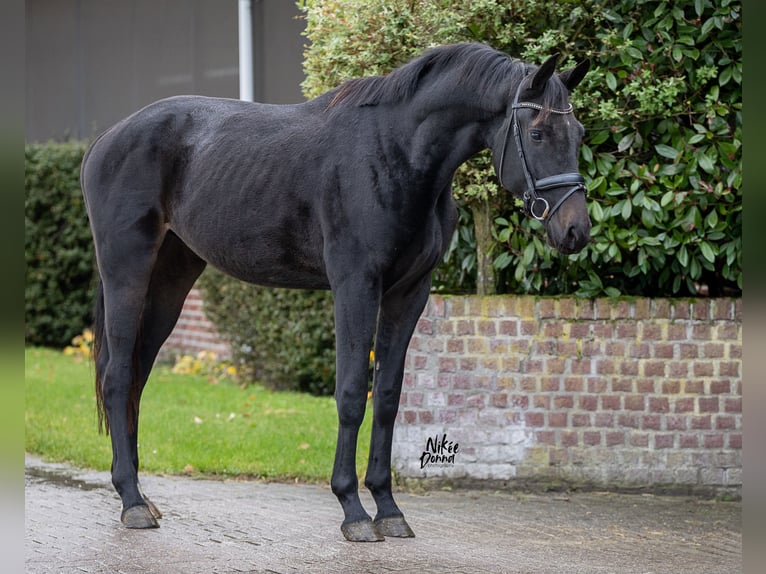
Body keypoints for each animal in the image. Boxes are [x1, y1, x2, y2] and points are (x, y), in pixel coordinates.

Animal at [81, 42, 591, 542]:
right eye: (539, 133)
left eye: (581, 133)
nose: (575, 231)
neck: (396, 153)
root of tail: (103, 142)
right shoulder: (355, 285)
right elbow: (350, 393)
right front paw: (353, 510)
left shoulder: (409, 293)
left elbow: (387, 396)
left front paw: (388, 509)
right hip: (127, 272)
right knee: (117, 376)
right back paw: (131, 502)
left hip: (171, 280)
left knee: (138, 376)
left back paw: (140, 495)